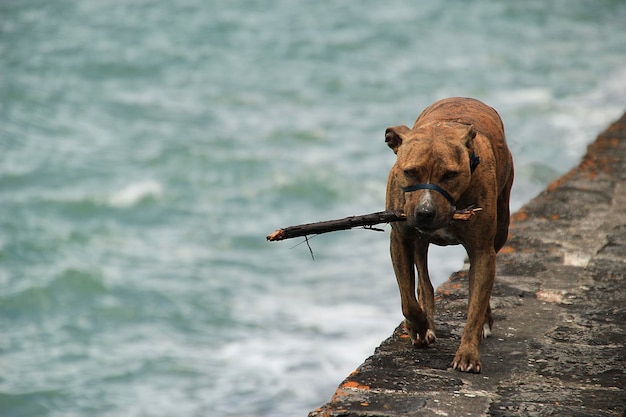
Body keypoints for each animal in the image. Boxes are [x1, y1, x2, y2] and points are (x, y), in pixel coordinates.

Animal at [386, 98, 512, 374]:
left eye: (450, 174)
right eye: (410, 172)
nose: (425, 212)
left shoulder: (482, 251)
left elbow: (475, 306)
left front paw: (468, 353)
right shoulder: (400, 239)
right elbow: (408, 299)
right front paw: (418, 326)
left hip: (501, 227)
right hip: (419, 241)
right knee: (423, 281)